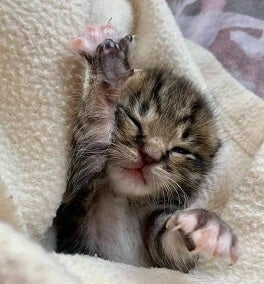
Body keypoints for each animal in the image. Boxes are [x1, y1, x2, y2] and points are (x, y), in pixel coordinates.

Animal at [53, 26, 239, 272]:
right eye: (134, 121)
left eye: (181, 150)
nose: (149, 156)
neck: (124, 197)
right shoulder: (74, 200)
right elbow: (94, 134)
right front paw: (109, 74)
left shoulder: (166, 254)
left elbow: (171, 245)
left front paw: (210, 226)